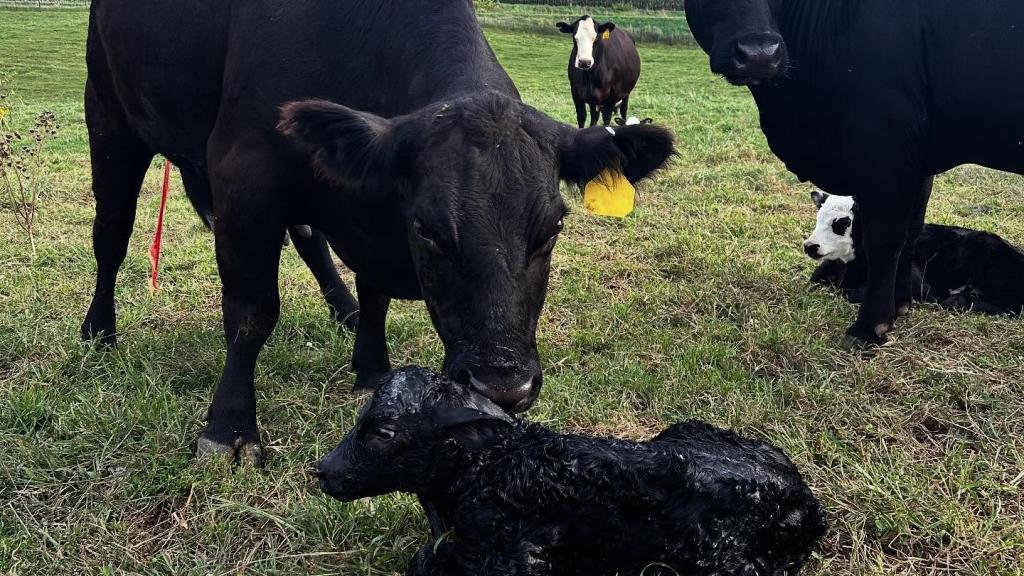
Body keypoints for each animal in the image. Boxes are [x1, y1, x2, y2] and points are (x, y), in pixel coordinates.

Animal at [82, 0, 675, 463]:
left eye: (552, 227)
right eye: (429, 231)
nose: (503, 386)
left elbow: (375, 295)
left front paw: (371, 366)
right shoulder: (244, 176)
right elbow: (251, 314)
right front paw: (228, 430)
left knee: (310, 238)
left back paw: (340, 308)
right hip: (109, 116)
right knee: (111, 234)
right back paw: (98, 331)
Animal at [805, 190, 1024, 315]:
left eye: (843, 223)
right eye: (818, 218)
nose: (809, 246)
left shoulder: (918, 286)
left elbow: (853, 294)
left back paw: (956, 300)